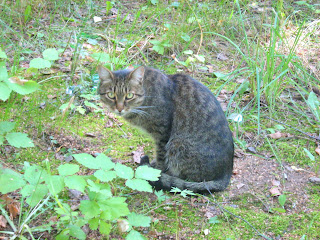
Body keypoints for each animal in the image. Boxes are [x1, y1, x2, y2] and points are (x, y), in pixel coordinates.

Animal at [97, 65, 232, 193]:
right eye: (111, 95)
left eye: (129, 95)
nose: (119, 109)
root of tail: (226, 174)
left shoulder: (162, 132)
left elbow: (161, 156)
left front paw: (156, 172)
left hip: (177, 145)